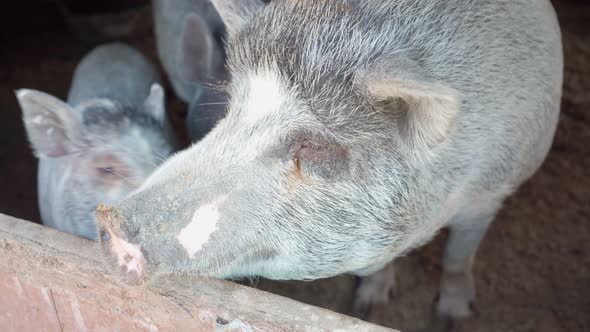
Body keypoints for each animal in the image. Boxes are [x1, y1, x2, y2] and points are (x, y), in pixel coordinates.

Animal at [97, 0, 564, 326]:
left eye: (314, 146)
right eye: (232, 107)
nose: (112, 219)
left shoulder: (492, 191)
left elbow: (457, 257)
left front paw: (452, 319)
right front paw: (369, 304)